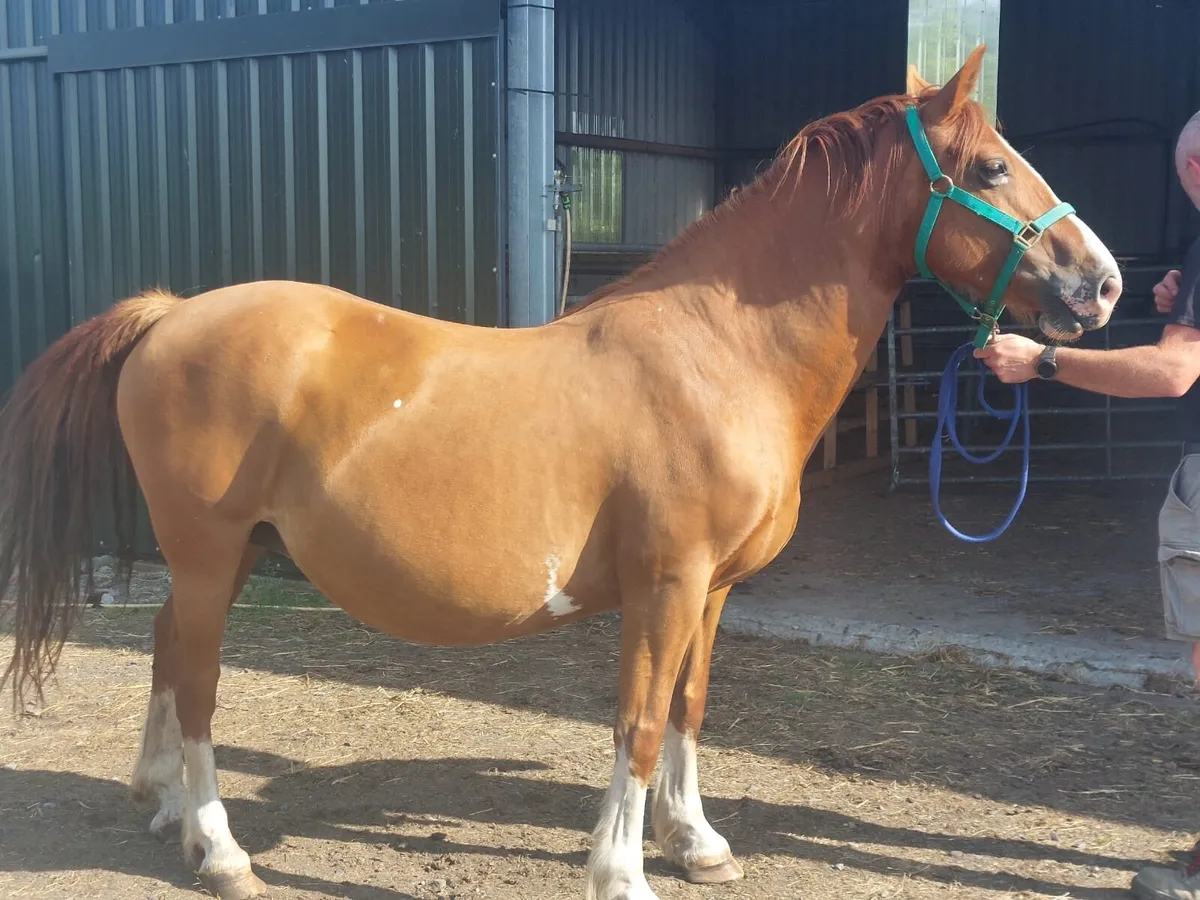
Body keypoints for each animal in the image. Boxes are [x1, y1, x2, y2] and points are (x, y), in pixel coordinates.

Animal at [0, 47, 1121, 900]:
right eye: (990, 168)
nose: (1102, 283)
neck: (718, 352)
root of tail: (169, 314)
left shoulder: (713, 590)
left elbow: (688, 706)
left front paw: (695, 842)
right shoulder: (665, 583)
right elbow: (636, 718)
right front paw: (622, 872)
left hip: (227, 554)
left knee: (163, 647)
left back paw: (162, 806)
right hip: (207, 549)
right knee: (197, 680)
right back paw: (221, 848)